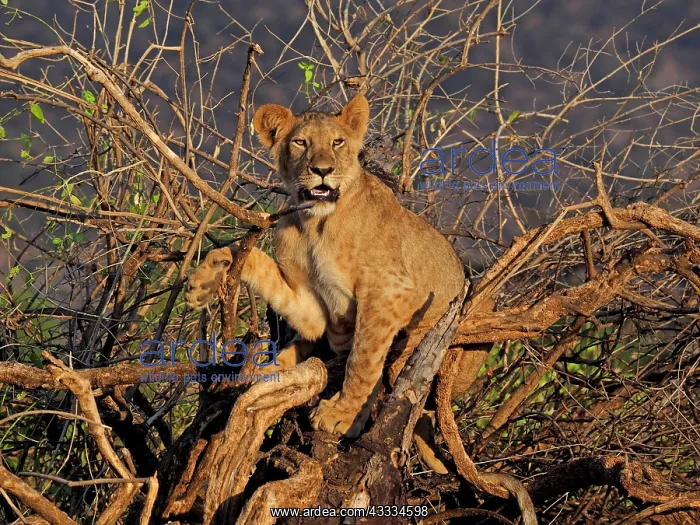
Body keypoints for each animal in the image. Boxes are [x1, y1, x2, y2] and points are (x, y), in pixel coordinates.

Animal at [184, 94, 465, 444]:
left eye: (337, 142)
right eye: (301, 142)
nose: (322, 170)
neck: (315, 223)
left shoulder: (392, 289)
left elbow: (363, 359)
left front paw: (341, 415)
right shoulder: (312, 307)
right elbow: (254, 261)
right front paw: (205, 280)